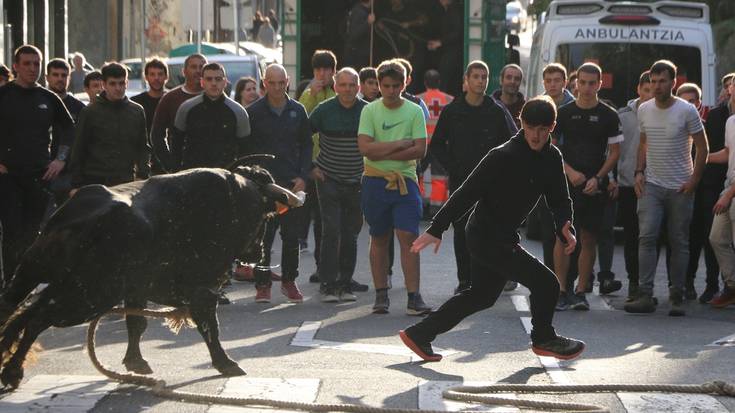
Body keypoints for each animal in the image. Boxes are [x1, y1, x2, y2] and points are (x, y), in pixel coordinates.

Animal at [0, 163, 302, 388]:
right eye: (266, 217)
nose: (257, 251)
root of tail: (78, 217)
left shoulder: (137, 290)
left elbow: (136, 323)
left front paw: (135, 362)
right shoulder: (203, 289)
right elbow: (209, 326)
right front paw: (225, 363)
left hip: (34, 276)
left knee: (16, 310)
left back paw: (6, 359)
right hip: (87, 298)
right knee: (37, 318)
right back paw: (13, 372)